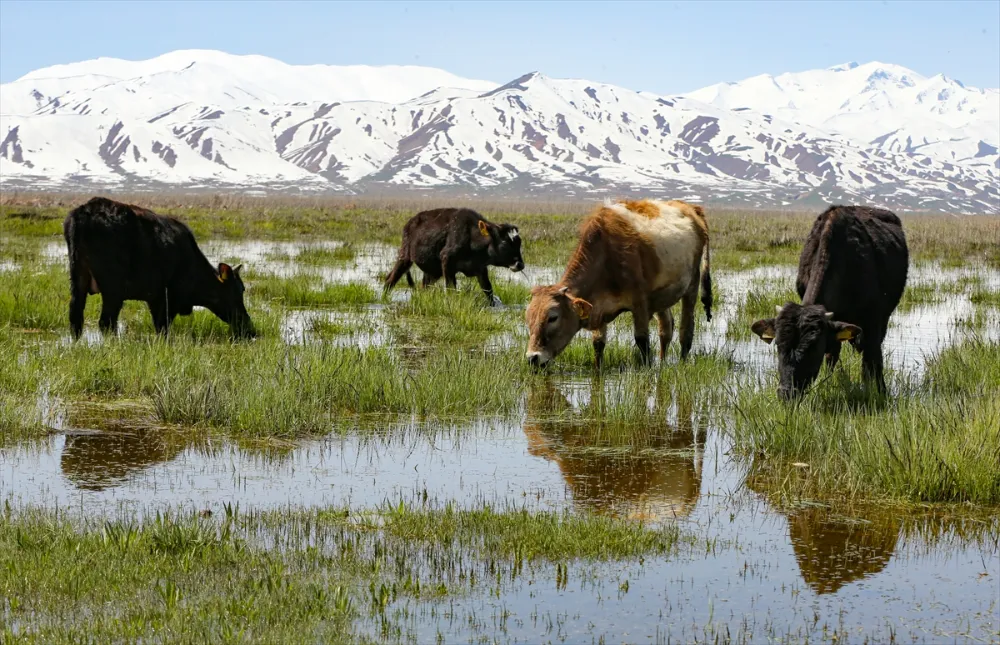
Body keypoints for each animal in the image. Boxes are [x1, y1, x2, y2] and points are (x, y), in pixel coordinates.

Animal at [63, 195, 256, 338]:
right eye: (239, 290)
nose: (249, 329)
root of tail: (83, 211)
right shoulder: (165, 298)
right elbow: (163, 328)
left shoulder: (154, 298)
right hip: (113, 287)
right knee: (106, 322)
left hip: (78, 278)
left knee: (75, 317)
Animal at [380, 208, 524, 306]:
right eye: (504, 243)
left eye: (519, 242)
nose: (520, 264)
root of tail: (411, 221)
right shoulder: (447, 261)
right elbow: (450, 289)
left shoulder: (481, 268)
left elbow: (488, 290)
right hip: (405, 256)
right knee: (390, 280)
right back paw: (383, 298)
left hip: (433, 271)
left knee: (424, 286)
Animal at [524, 196, 712, 370]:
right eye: (528, 317)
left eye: (553, 318)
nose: (532, 357)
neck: (606, 256)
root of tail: (691, 208)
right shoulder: (598, 310)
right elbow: (598, 345)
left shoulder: (639, 303)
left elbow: (642, 341)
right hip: (662, 296)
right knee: (666, 329)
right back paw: (662, 363)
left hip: (692, 285)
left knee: (686, 330)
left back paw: (682, 364)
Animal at [752, 205, 908, 398]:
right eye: (778, 345)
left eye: (813, 348)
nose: (787, 393)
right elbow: (832, 356)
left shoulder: (874, 320)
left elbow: (873, 359)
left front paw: (879, 391)